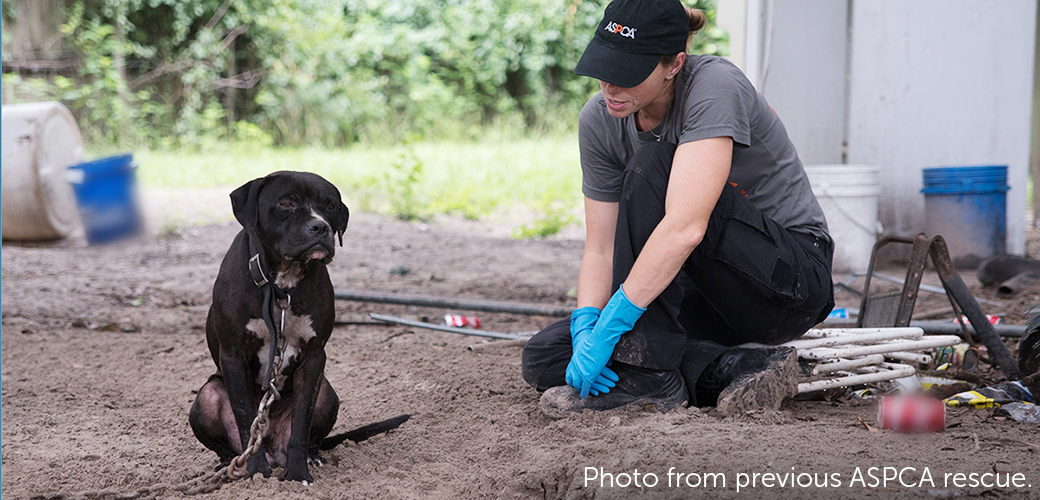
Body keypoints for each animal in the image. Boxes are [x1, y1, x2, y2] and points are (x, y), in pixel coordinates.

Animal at [189, 169, 407, 482]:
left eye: (330, 206)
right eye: (287, 204)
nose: (320, 227)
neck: (281, 285)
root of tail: (272, 449)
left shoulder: (314, 357)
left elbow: (302, 422)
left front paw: (297, 474)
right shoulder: (232, 356)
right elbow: (244, 418)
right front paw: (257, 473)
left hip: (327, 393)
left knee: (311, 434)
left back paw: (312, 457)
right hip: (207, 396)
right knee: (231, 443)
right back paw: (229, 464)